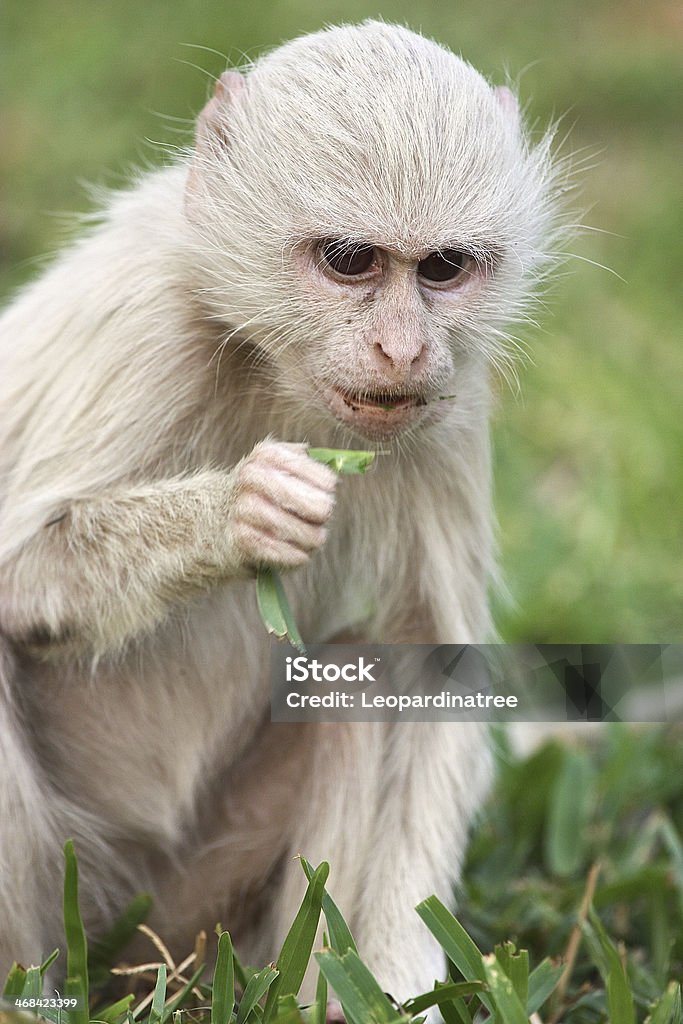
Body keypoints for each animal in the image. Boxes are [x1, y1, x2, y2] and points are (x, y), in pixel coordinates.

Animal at [0, 19, 561, 1019]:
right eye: (350, 260)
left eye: (443, 268)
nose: (402, 349)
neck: (264, 356)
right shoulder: (143, 328)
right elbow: (15, 576)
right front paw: (235, 516)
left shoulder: (447, 403)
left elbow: (432, 668)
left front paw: (397, 980)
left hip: (183, 908)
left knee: (356, 676)